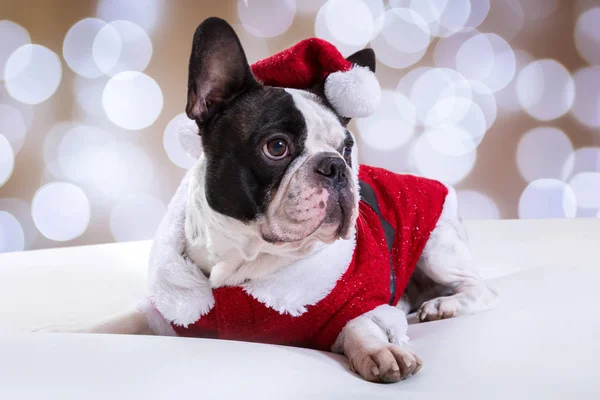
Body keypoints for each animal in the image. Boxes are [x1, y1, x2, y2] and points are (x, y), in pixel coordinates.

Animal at [39, 17, 500, 382]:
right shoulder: (167, 312)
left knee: (481, 289)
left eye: (347, 148)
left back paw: (442, 305)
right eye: (276, 147)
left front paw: (379, 348)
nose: (336, 166)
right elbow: (121, 319)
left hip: (438, 247)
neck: (241, 262)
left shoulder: (352, 303)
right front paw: (63, 333)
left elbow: (360, 324)